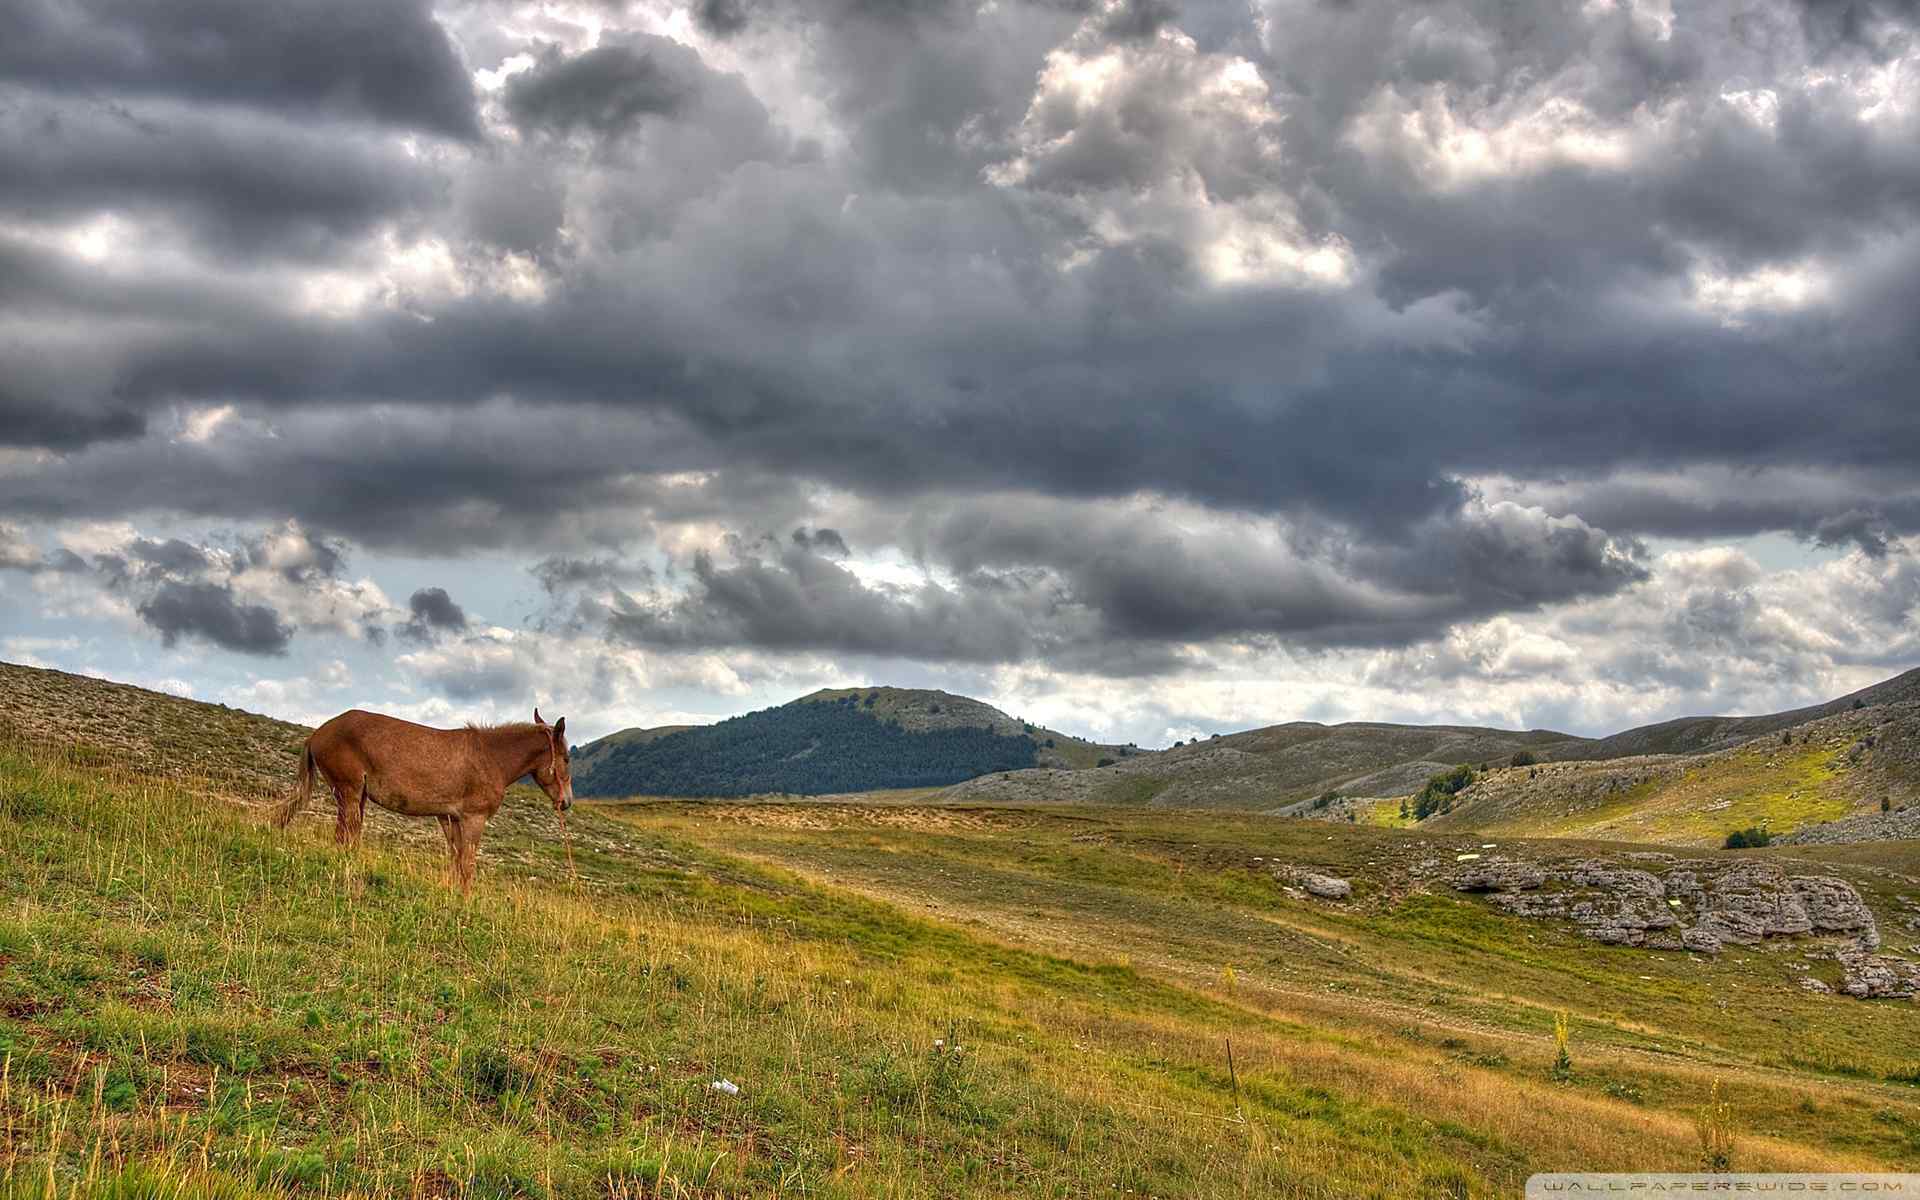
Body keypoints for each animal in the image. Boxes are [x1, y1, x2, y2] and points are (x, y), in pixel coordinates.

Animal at [274, 710, 568, 890]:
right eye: (566, 758)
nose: (566, 803)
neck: (490, 757)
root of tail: (318, 734)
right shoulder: (473, 819)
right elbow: (467, 864)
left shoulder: (451, 819)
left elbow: (456, 860)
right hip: (349, 793)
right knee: (345, 836)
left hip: (354, 797)